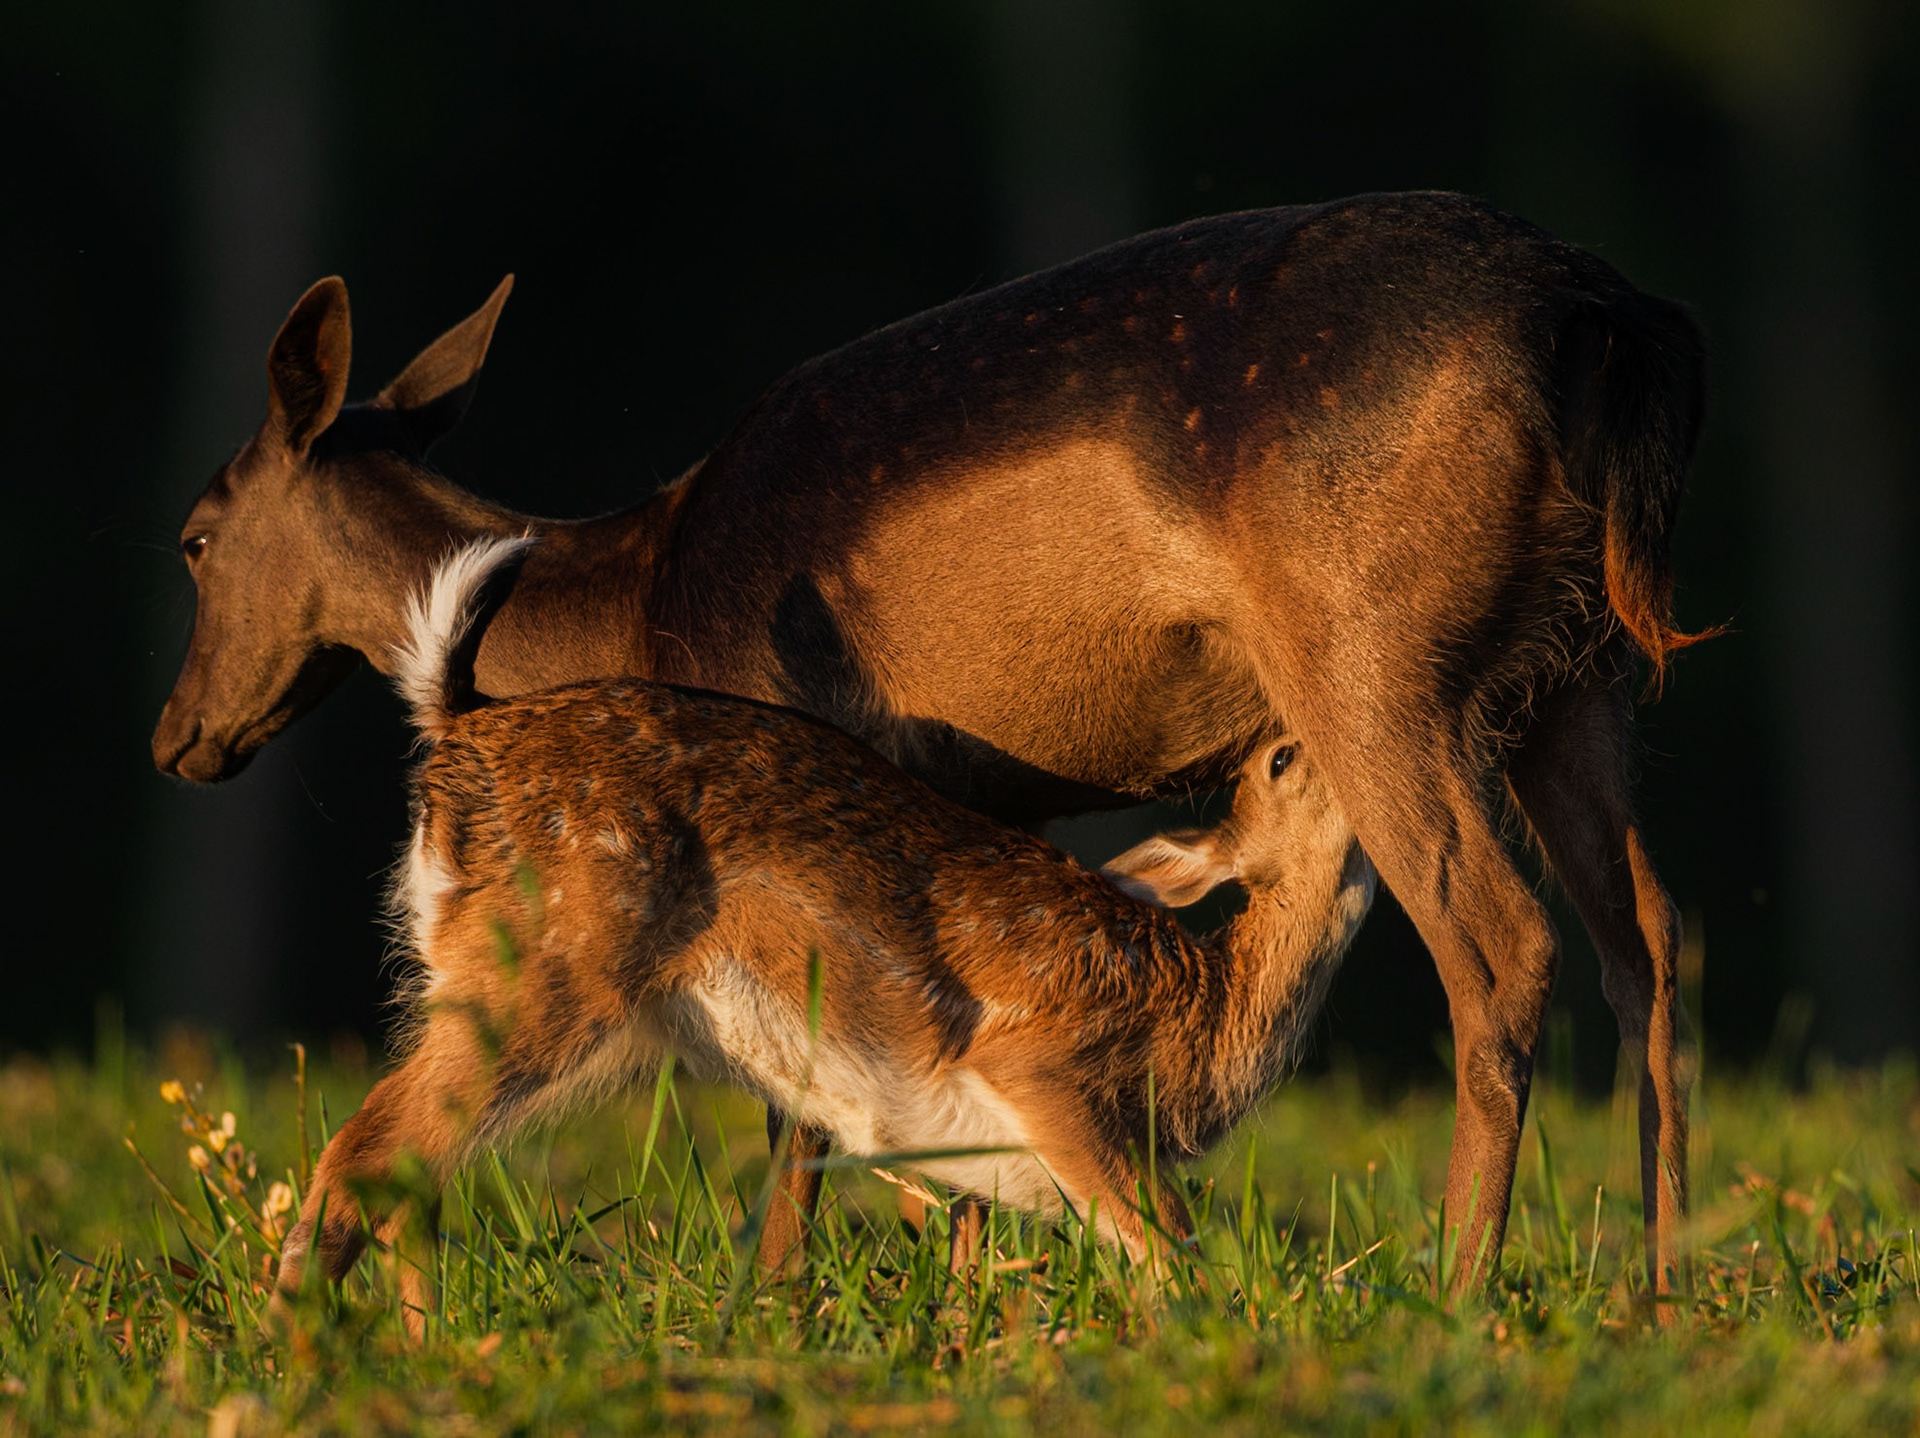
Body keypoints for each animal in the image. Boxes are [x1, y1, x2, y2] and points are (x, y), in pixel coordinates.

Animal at [269, 537, 1376, 1337]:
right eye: (1284, 758)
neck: (1208, 1007)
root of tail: (454, 727)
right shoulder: (1049, 1066)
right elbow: (1165, 1249)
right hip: (545, 962)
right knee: (366, 1153)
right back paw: (303, 1346)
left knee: (413, 1169)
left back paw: (430, 1346)